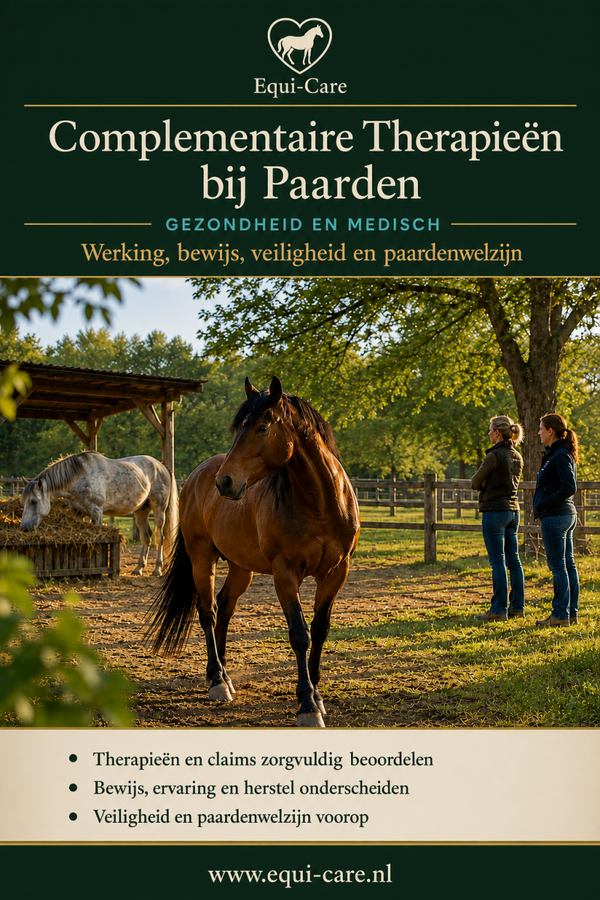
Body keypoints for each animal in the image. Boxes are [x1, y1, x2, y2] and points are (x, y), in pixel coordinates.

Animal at [20, 451, 179, 576]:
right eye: (24, 502)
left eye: (34, 501)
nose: (24, 528)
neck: (80, 477)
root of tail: (162, 466)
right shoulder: (77, 513)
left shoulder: (96, 510)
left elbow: (97, 538)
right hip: (141, 511)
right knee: (146, 537)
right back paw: (138, 568)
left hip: (158, 509)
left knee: (160, 536)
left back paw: (157, 569)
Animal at [147, 376, 360, 727]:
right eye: (239, 428)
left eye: (262, 427)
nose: (225, 482)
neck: (321, 505)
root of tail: (197, 476)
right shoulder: (284, 573)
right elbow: (299, 634)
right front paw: (306, 705)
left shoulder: (335, 573)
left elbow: (319, 629)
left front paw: (317, 695)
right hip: (202, 558)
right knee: (208, 612)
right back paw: (217, 681)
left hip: (240, 567)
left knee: (224, 608)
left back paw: (223, 676)